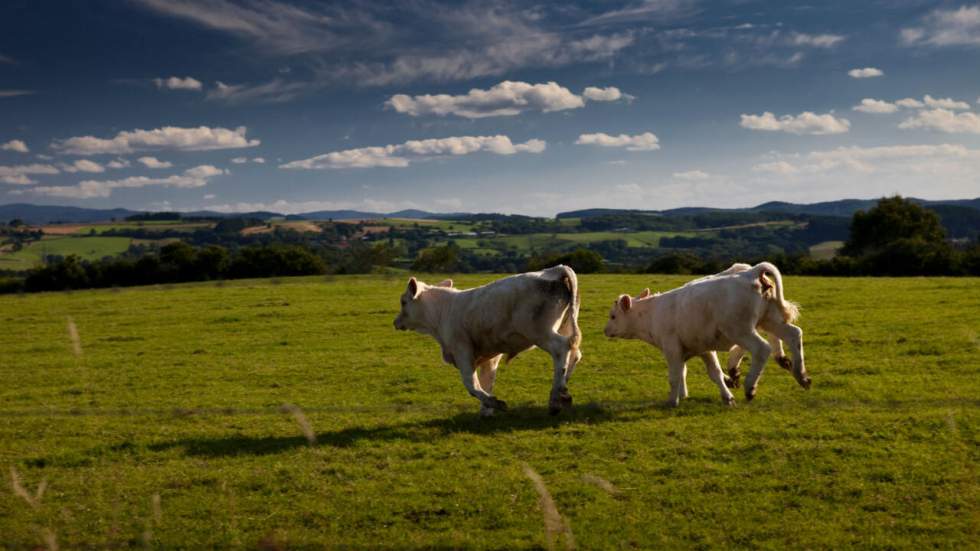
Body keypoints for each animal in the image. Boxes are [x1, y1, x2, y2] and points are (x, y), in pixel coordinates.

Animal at [396, 266, 584, 416]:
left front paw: (495, 403)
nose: (395, 322)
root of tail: (555, 269)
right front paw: (486, 410)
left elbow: (471, 384)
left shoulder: (462, 349)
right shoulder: (490, 354)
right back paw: (563, 393)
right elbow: (487, 379)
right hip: (562, 326)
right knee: (574, 353)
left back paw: (556, 397)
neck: (444, 310)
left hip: (541, 333)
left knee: (561, 349)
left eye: (403, 302)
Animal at [600, 260, 808, 408]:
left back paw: (750, 386)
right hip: (770, 320)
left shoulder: (672, 348)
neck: (652, 313)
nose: (605, 330)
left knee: (762, 348)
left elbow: (674, 375)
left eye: (613, 316)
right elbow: (708, 373)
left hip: (741, 330)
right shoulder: (702, 349)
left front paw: (672, 401)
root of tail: (750, 271)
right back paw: (802, 375)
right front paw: (721, 396)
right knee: (793, 334)